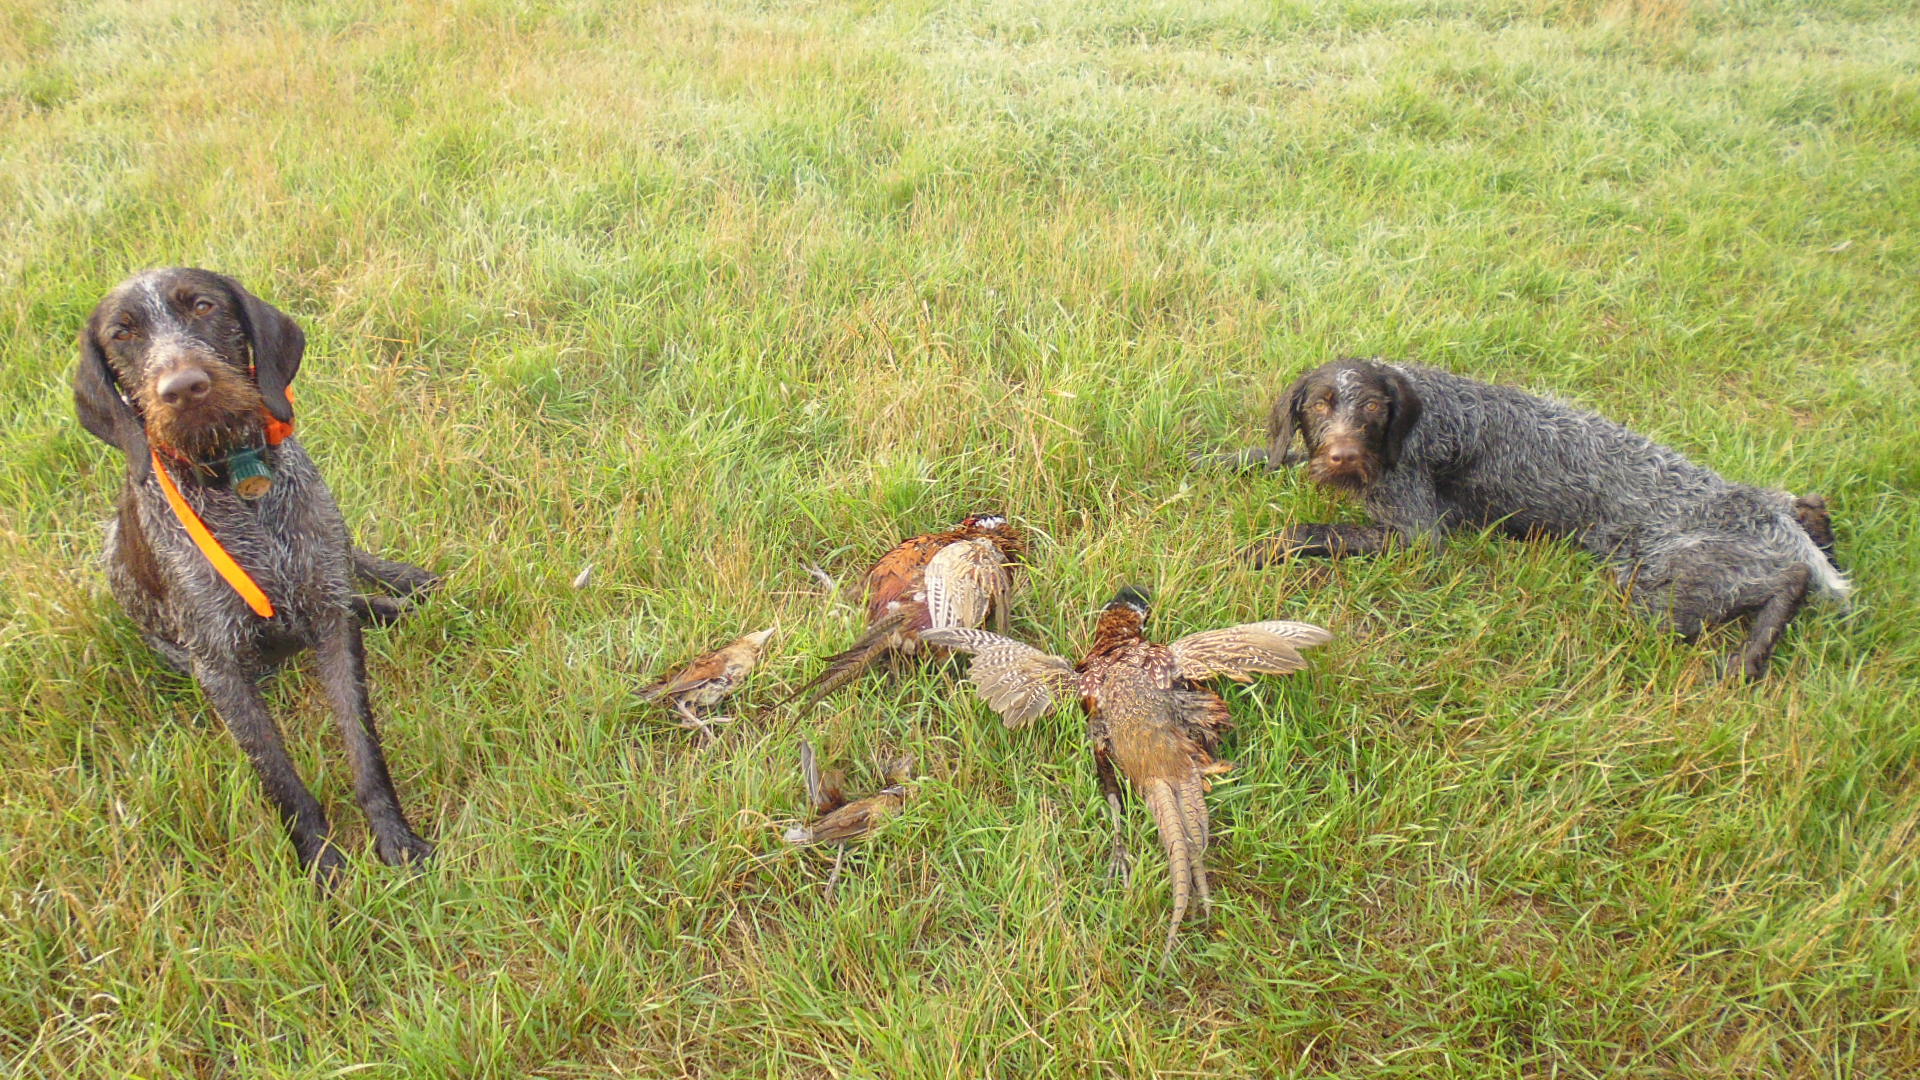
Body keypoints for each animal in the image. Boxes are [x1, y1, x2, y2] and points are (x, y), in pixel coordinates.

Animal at [75, 267, 438, 879]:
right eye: (122, 334)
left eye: (202, 306)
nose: (183, 388)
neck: (236, 477)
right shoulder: (219, 668)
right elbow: (280, 777)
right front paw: (321, 862)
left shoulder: (332, 622)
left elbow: (364, 749)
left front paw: (395, 836)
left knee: (350, 567)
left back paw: (401, 590)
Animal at [1236, 358, 1848, 681]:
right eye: (1319, 405)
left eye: (1372, 408)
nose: (1342, 457)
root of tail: (1762, 512)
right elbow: (1275, 456)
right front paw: (1230, 458)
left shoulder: (1414, 533)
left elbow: (1311, 532)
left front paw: (1263, 548)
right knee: (1812, 513)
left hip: (1661, 588)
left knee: (1790, 580)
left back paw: (1752, 651)